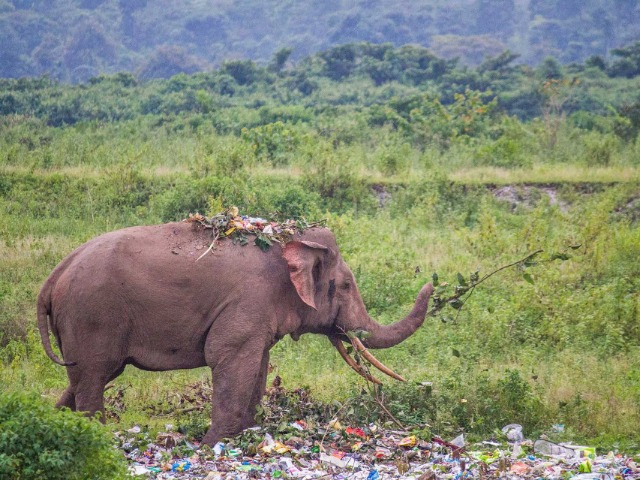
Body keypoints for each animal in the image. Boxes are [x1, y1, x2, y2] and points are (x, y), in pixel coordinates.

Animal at [37, 221, 433, 445]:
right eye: (347, 286)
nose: (432, 282)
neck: (291, 242)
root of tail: (52, 277)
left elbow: (259, 364)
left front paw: (246, 436)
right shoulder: (249, 300)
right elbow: (228, 356)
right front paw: (212, 445)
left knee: (83, 377)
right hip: (92, 316)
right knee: (94, 375)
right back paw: (96, 436)